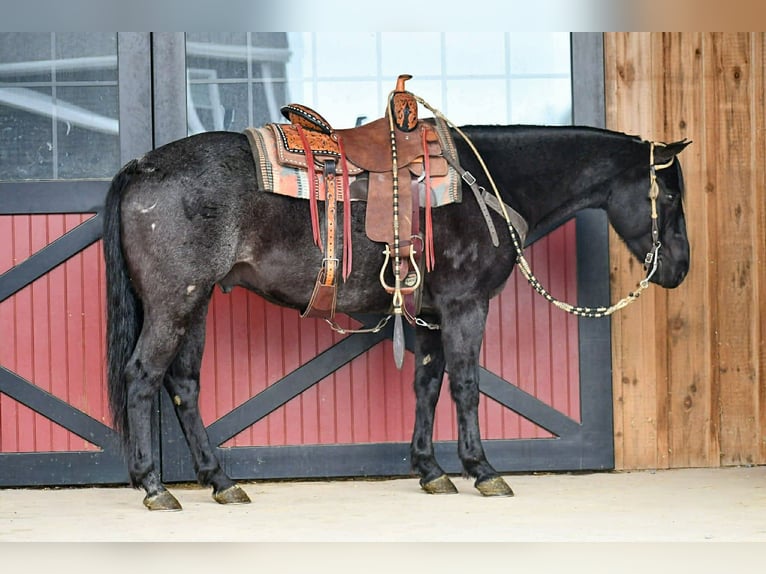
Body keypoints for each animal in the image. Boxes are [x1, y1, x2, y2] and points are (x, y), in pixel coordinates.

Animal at [103, 121, 690, 510]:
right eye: (671, 197)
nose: (680, 269)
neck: (488, 184)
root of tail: (141, 166)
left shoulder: (429, 312)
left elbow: (427, 386)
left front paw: (431, 470)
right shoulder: (465, 305)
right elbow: (465, 386)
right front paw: (482, 470)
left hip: (195, 302)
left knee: (183, 383)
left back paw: (220, 481)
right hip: (174, 301)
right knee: (143, 376)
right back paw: (154, 485)